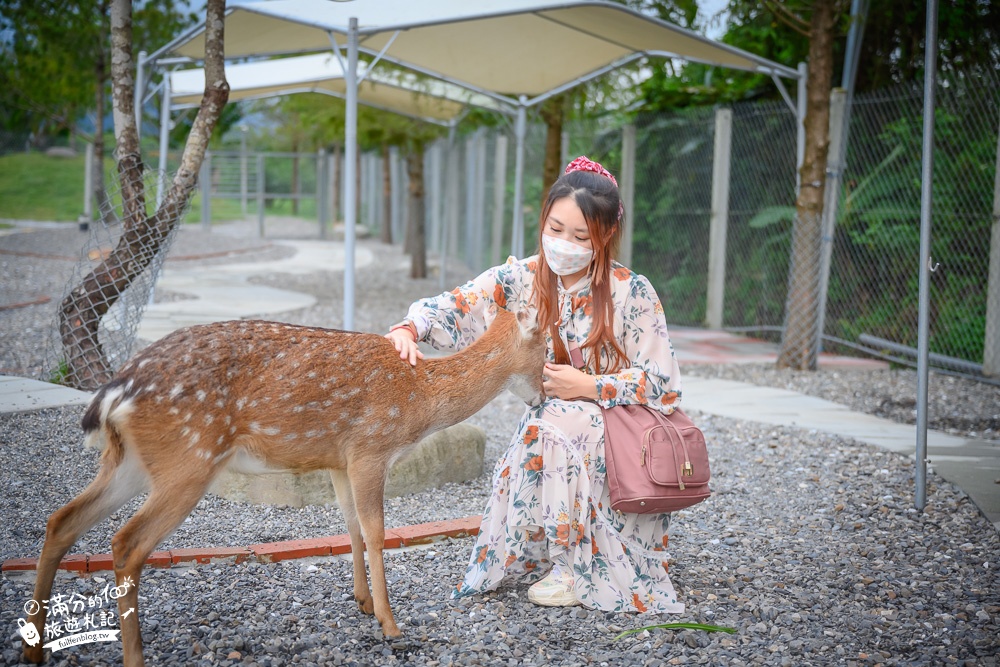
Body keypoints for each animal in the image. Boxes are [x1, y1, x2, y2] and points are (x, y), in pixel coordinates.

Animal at [23, 310, 548, 664]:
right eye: (545, 352)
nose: (544, 394)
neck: (419, 400)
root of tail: (115, 392)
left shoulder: (339, 459)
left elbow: (351, 526)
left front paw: (361, 602)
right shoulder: (370, 448)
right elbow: (376, 532)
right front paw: (390, 622)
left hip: (131, 460)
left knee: (62, 520)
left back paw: (34, 648)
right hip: (189, 459)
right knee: (126, 542)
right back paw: (134, 657)